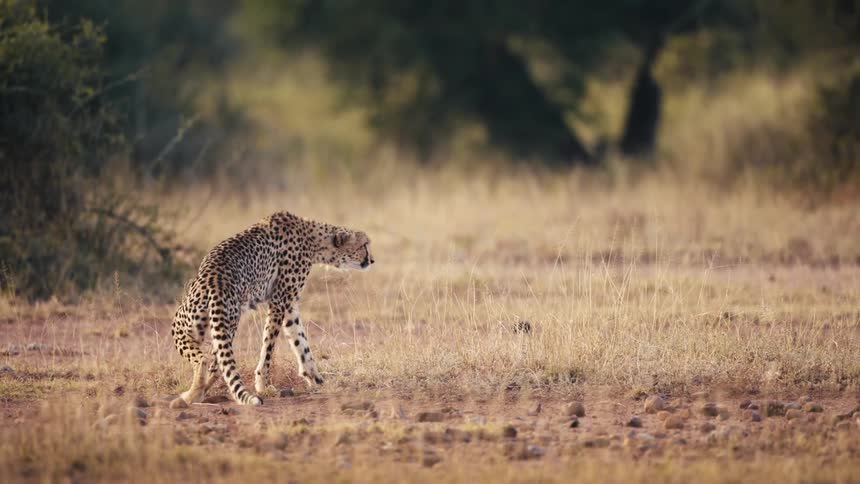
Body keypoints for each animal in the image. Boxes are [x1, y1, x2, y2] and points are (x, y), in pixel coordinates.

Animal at [170, 211, 373, 406]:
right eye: (364, 245)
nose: (372, 260)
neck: (312, 239)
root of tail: (214, 281)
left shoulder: (289, 305)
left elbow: (300, 340)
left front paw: (315, 378)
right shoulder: (279, 301)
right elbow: (269, 344)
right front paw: (263, 384)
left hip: (193, 326)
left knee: (209, 362)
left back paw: (192, 395)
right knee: (210, 363)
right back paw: (193, 395)